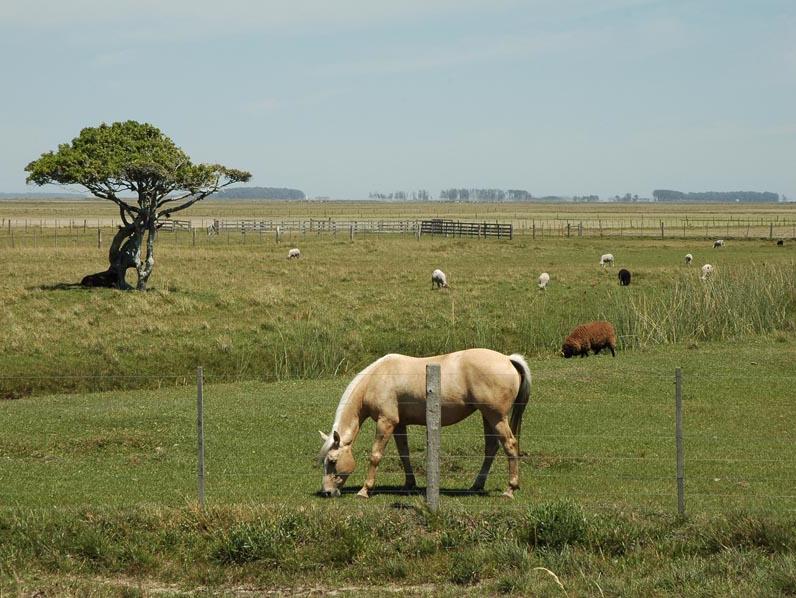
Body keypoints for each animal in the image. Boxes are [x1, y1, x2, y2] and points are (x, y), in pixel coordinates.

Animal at [316, 350, 528, 500]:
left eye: (332, 461)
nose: (327, 492)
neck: (377, 379)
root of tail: (508, 359)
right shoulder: (398, 425)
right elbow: (404, 454)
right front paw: (409, 484)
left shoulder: (386, 422)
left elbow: (376, 455)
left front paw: (365, 490)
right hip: (488, 416)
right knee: (491, 448)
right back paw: (477, 485)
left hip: (496, 417)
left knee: (509, 445)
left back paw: (510, 489)